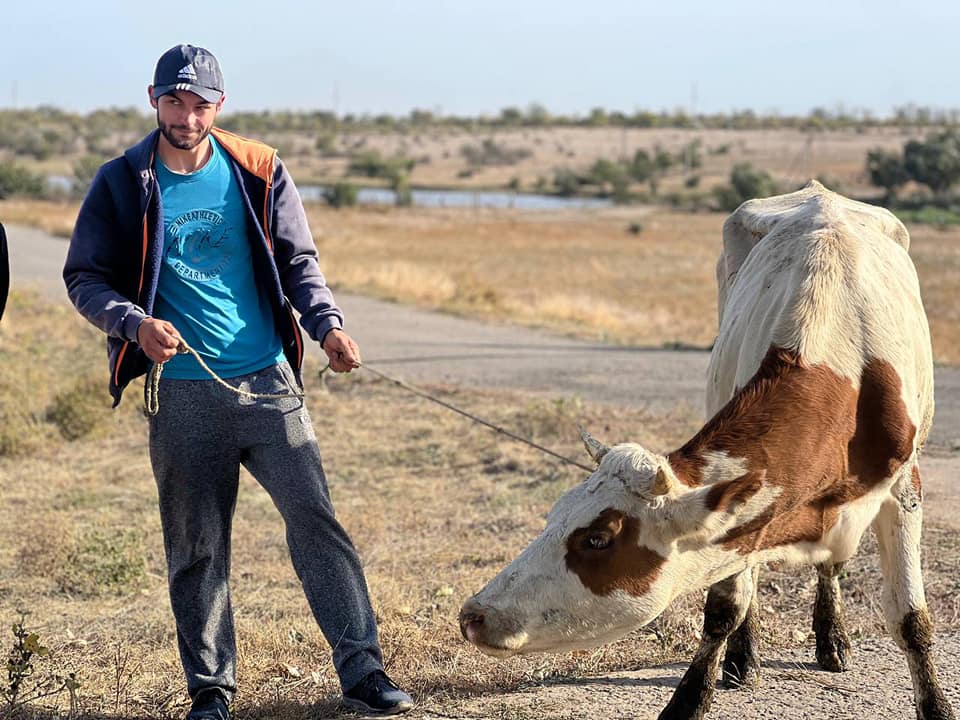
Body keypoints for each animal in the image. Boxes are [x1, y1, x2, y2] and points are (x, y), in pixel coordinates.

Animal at [458, 183, 952, 720]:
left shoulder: (904, 489)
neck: (842, 366)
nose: (474, 614)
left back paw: (831, 639)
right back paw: (744, 657)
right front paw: (694, 695)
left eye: (597, 540)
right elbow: (724, 605)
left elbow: (911, 620)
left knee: (827, 566)